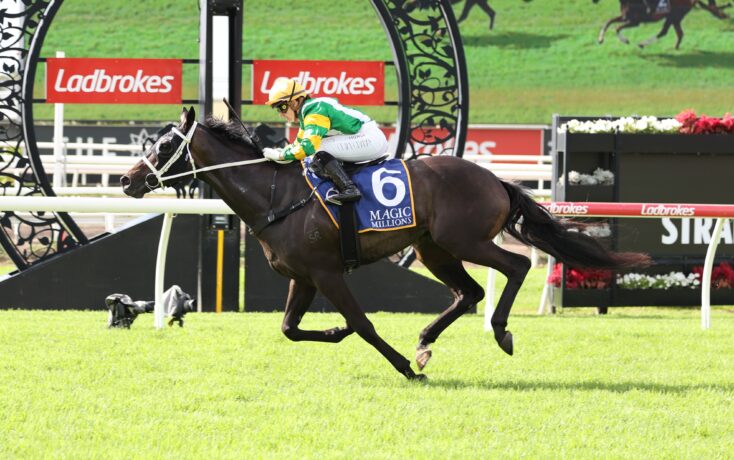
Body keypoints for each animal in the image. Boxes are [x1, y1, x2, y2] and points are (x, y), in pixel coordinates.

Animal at [121, 107, 651, 380]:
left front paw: (400, 365)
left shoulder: (327, 273)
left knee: (513, 268)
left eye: (163, 146)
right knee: (470, 291)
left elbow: (364, 323)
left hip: (464, 239)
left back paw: (498, 332)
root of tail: (495, 180)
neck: (277, 197)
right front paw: (336, 333)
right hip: (436, 248)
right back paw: (425, 342)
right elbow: (290, 329)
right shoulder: (302, 277)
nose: (127, 181)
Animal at [593, 0, 730, 49]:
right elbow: (608, 22)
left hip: (673, 16)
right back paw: (676, 47)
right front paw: (600, 39)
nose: (593, 1)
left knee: (664, 32)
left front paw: (625, 40)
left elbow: (616, 27)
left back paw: (642, 44)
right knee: (679, 33)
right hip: (675, 18)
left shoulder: (634, 21)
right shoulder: (625, 17)